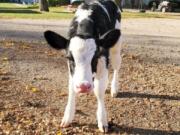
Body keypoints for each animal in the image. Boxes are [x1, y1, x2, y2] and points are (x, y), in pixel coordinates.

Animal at [44, 0, 121, 133]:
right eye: (69, 58)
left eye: (95, 57)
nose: (83, 87)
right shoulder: (71, 70)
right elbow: (71, 88)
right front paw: (68, 117)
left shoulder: (103, 61)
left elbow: (99, 91)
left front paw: (102, 120)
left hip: (116, 47)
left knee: (116, 67)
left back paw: (114, 89)